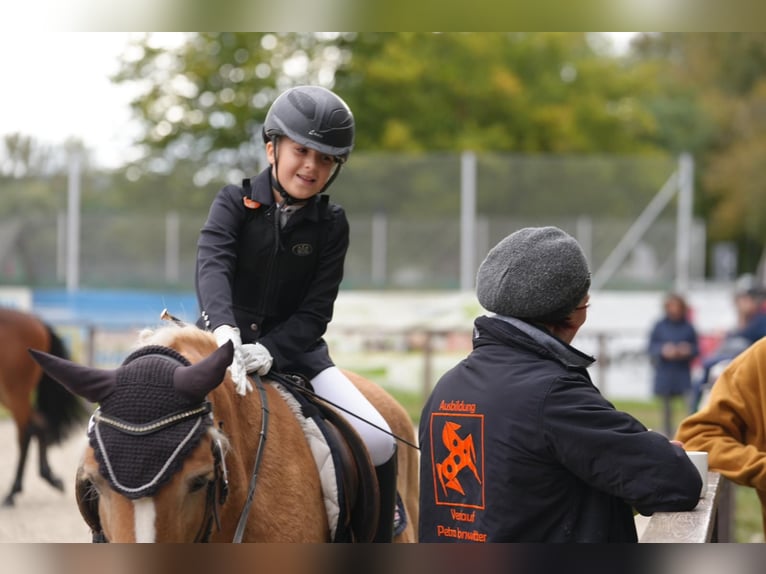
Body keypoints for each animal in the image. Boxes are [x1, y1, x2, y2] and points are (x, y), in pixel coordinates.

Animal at [0, 308, 88, 506]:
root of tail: (37, 321)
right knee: (38, 423)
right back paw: (50, 478)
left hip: (15, 391)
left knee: (26, 431)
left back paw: (13, 492)